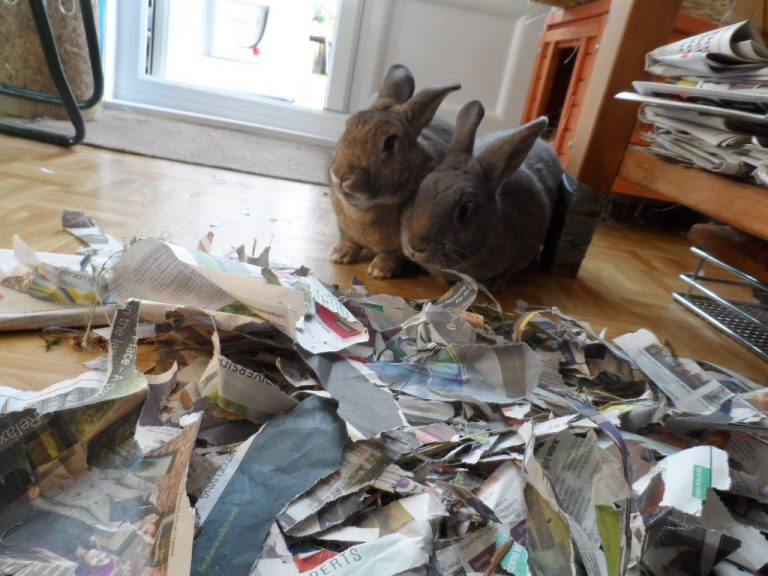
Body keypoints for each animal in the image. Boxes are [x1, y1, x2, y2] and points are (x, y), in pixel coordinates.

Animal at [329, 64, 461, 279]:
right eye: (347, 127)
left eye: (390, 142)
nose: (341, 175)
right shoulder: (344, 228)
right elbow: (348, 240)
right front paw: (339, 255)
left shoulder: (402, 245)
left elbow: (393, 255)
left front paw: (380, 270)